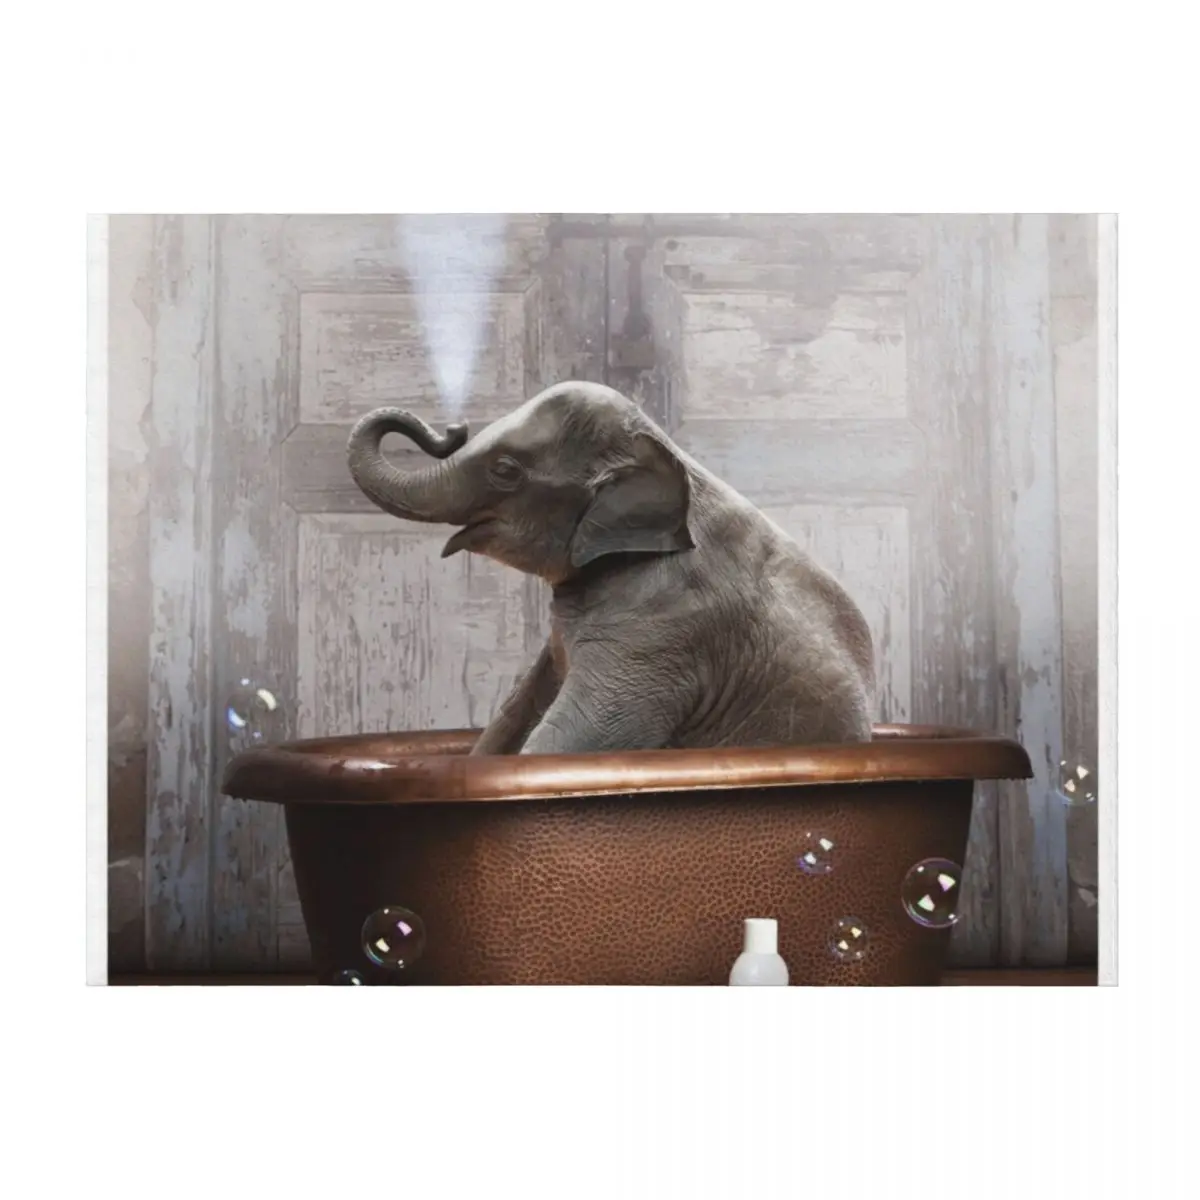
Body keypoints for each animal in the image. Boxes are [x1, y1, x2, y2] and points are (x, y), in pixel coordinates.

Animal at [347, 381, 876, 756]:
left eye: (505, 470)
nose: (451, 428)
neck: (665, 449)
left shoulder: (663, 632)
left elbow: (580, 737)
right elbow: (515, 711)